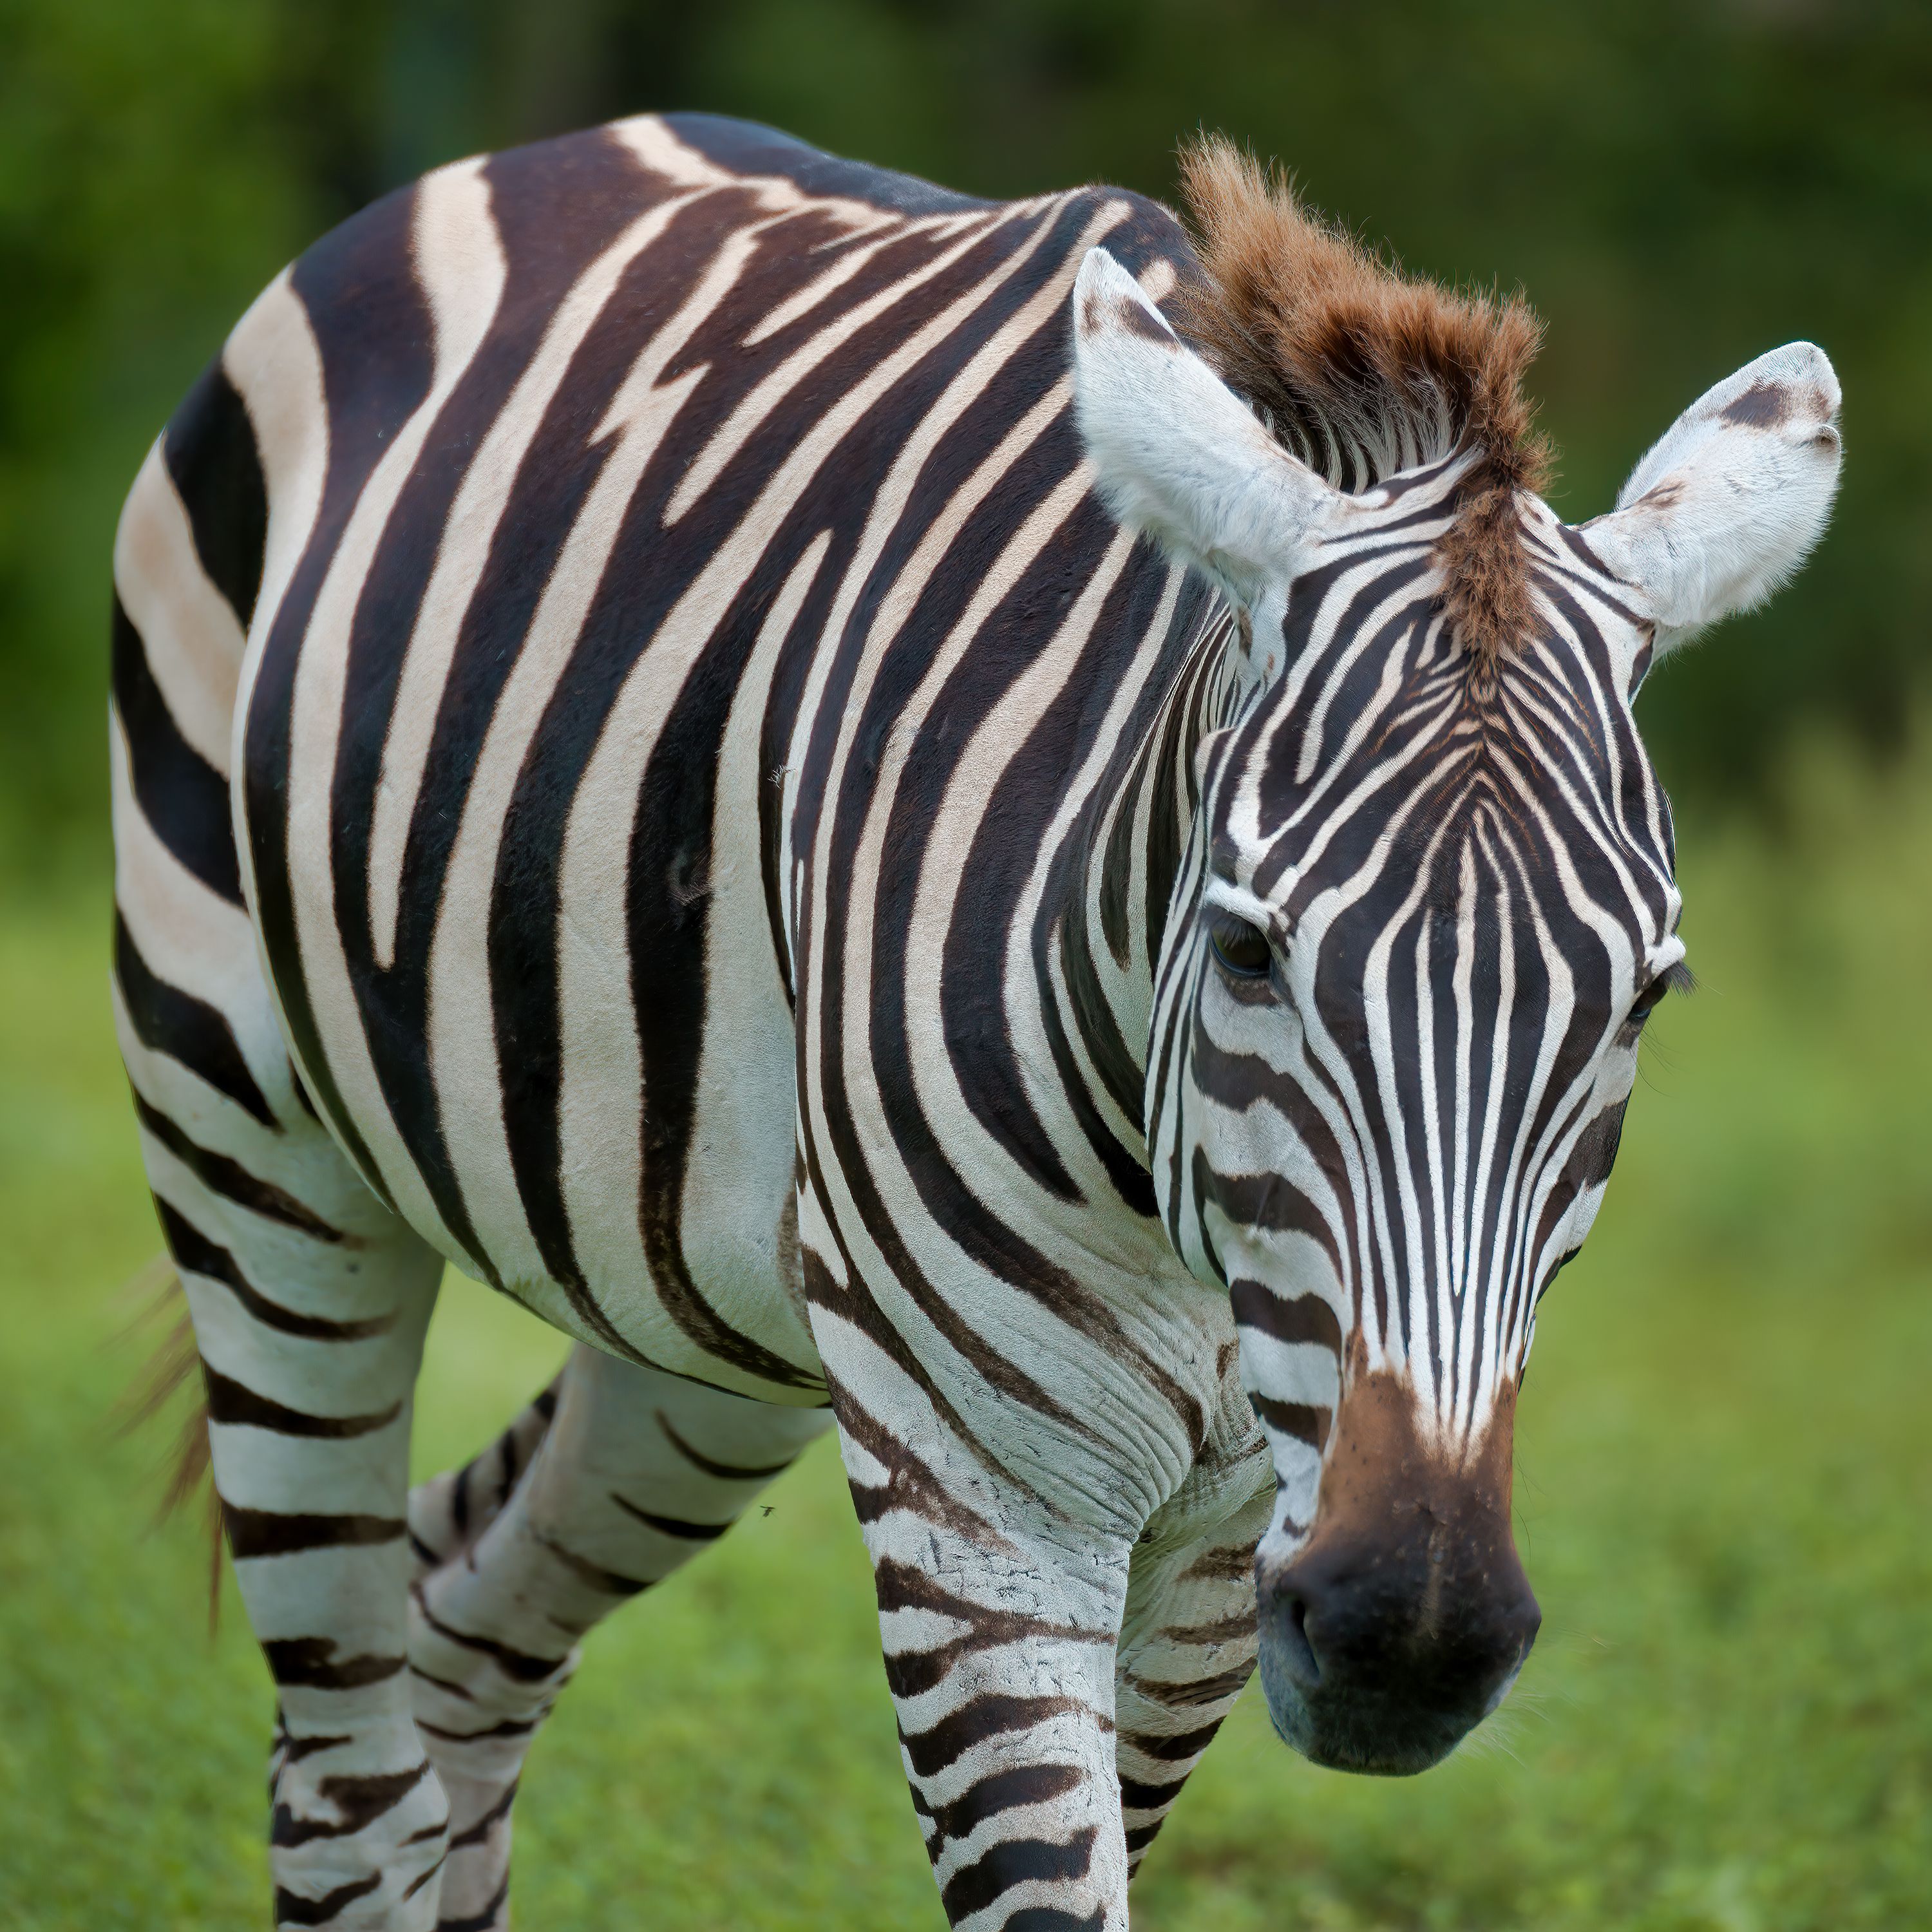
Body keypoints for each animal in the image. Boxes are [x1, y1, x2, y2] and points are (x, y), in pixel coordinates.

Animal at [109, 112, 1840, 1930]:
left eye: (1644, 997)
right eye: (1245, 951)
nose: (1406, 1640)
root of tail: (540, 154)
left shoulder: (1221, 1543)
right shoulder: (992, 1503)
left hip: (707, 1306)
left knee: (461, 1630)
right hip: (253, 1150)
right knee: (350, 1775)